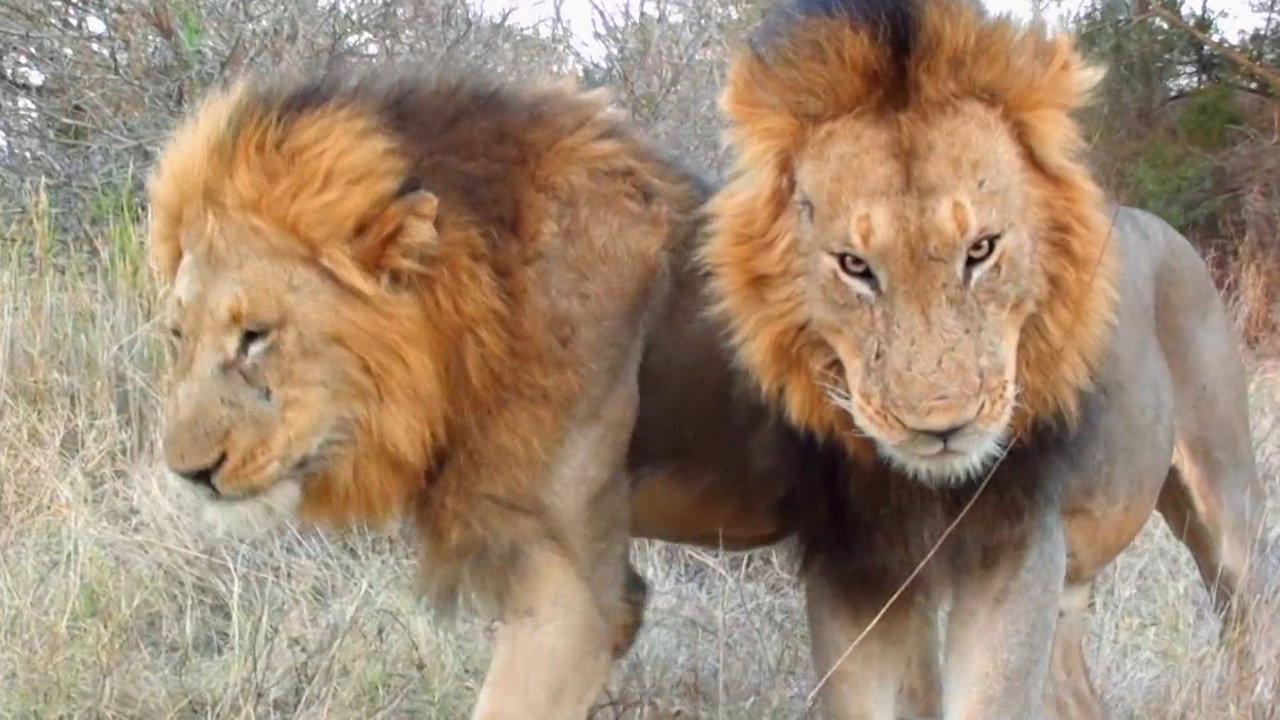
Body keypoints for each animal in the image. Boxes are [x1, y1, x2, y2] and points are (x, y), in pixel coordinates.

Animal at [702, 1, 1267, 717]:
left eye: (981, 249)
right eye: (855, 266)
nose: (942, 426)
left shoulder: (1015, 548)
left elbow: (991, 696)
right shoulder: (856, 566)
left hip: (1228, 500)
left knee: (1251, 620)